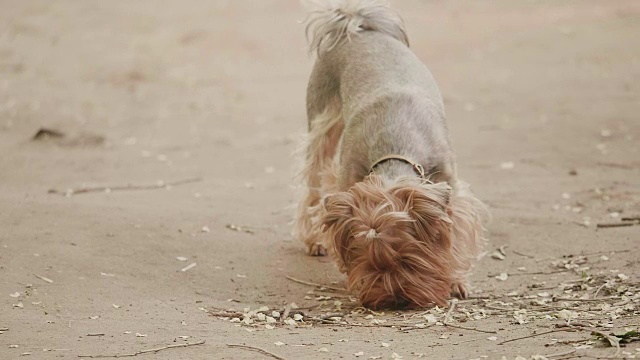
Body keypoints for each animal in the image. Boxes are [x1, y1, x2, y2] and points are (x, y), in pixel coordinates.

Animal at [292, 0, 488, 310]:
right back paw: (314, 239)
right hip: (322, 123)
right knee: (314, 178)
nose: (394, 299)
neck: (396, 149)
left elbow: (455, 234)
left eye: (408, 258)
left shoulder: (452, 188)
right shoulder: (348, 179)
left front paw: (456, 280)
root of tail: (356, 26)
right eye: (368, 261)